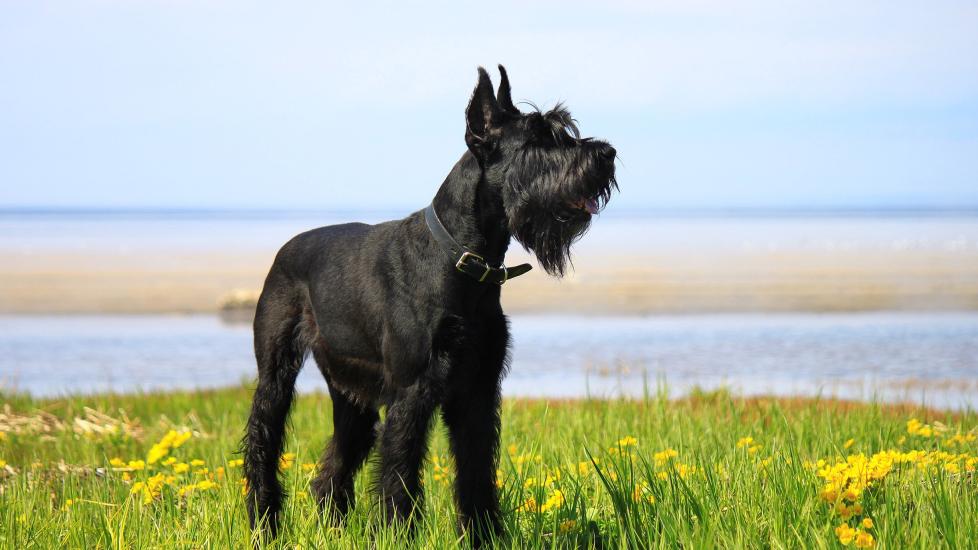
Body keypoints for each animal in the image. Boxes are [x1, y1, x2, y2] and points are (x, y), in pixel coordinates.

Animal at [241, 66, 612, 548]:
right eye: (539, 139)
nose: (607, 153)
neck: (463, 261)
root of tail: (285, 248)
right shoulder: (412, 392)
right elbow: (400, 472)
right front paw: (397, 532)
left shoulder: (478, 393)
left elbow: (476, 471)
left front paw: (484, 535)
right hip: (276, 374)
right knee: (262, 442)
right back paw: (263, 524)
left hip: (351, 394)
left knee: (335, 462)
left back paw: (333, 527)